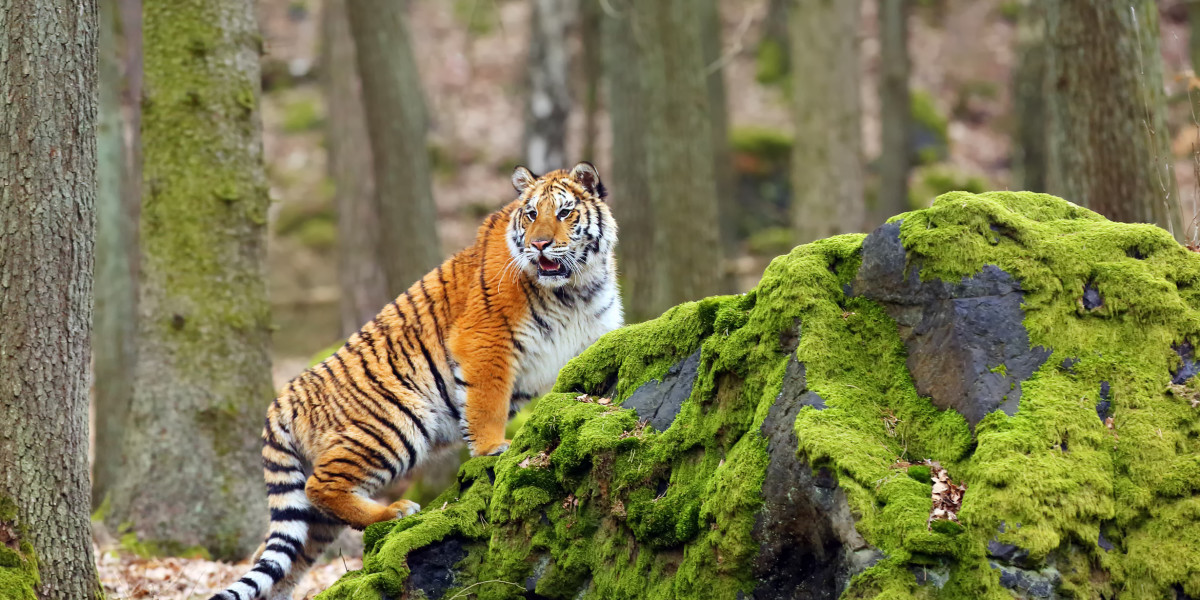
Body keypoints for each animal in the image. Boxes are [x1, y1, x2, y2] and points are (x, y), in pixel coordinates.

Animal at [213, 162, 628, 597]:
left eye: (564, 213)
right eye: (531, 215)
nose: (540, 244)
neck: (574, 288)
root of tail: (283, 396)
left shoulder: (594, 332)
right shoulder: (484, 339)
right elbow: (488, 402)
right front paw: (493, 449)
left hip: (316, 513)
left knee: (282, 553)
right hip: (393, 424)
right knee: (323, 486)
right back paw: (397, 511)